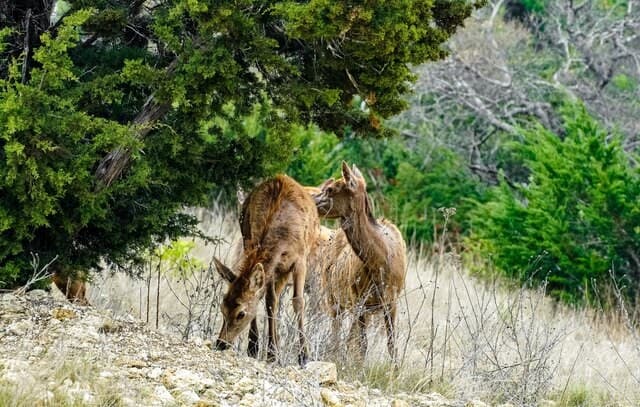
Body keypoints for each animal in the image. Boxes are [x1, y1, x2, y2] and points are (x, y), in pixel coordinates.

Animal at [213, 174, 320, 366]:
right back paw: (256, 347)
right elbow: (269, 301)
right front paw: (269, 352)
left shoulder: (300, 260)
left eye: (241, 314)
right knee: (270, 297)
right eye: (222, 307)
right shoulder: (269, 262)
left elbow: (298, 301)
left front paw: (304, 356)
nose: (221, 343)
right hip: (250, 244)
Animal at [312, 161, 407, 361]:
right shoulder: (359, 299)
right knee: (337, 333)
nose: (309, 200)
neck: (380, 262)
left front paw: (395, 369)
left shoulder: (391, 300)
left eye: (330, 189)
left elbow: (391, 345)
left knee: (347, 336)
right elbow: (363, 345)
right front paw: (358, 367)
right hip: (332, 295)